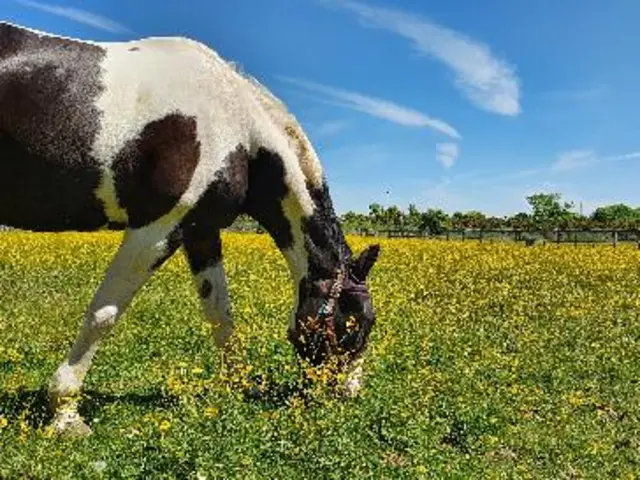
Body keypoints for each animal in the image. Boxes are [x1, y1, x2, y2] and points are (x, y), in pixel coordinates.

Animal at [0, 21, 380, 436]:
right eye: (355, 323)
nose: (349, 393)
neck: (237, 128)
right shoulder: (157, 229)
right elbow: (104, 314)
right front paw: (65, 411)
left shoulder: (200, 232)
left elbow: (219, 311)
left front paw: (242, 385)